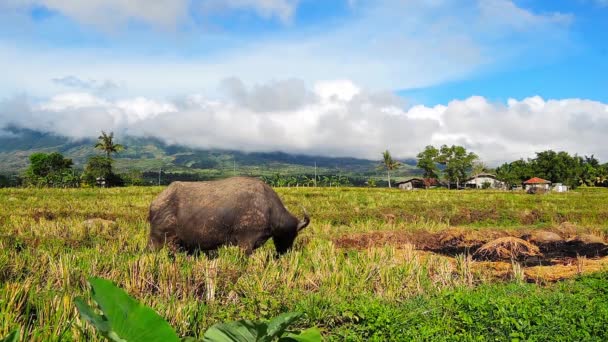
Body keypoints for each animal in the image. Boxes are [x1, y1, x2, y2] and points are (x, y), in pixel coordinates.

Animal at [147, 176, 308, 254]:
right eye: (292, 234)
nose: (284, 252)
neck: (268, 207)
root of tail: (155, 204)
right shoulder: (246, 243)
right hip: (158, 240)